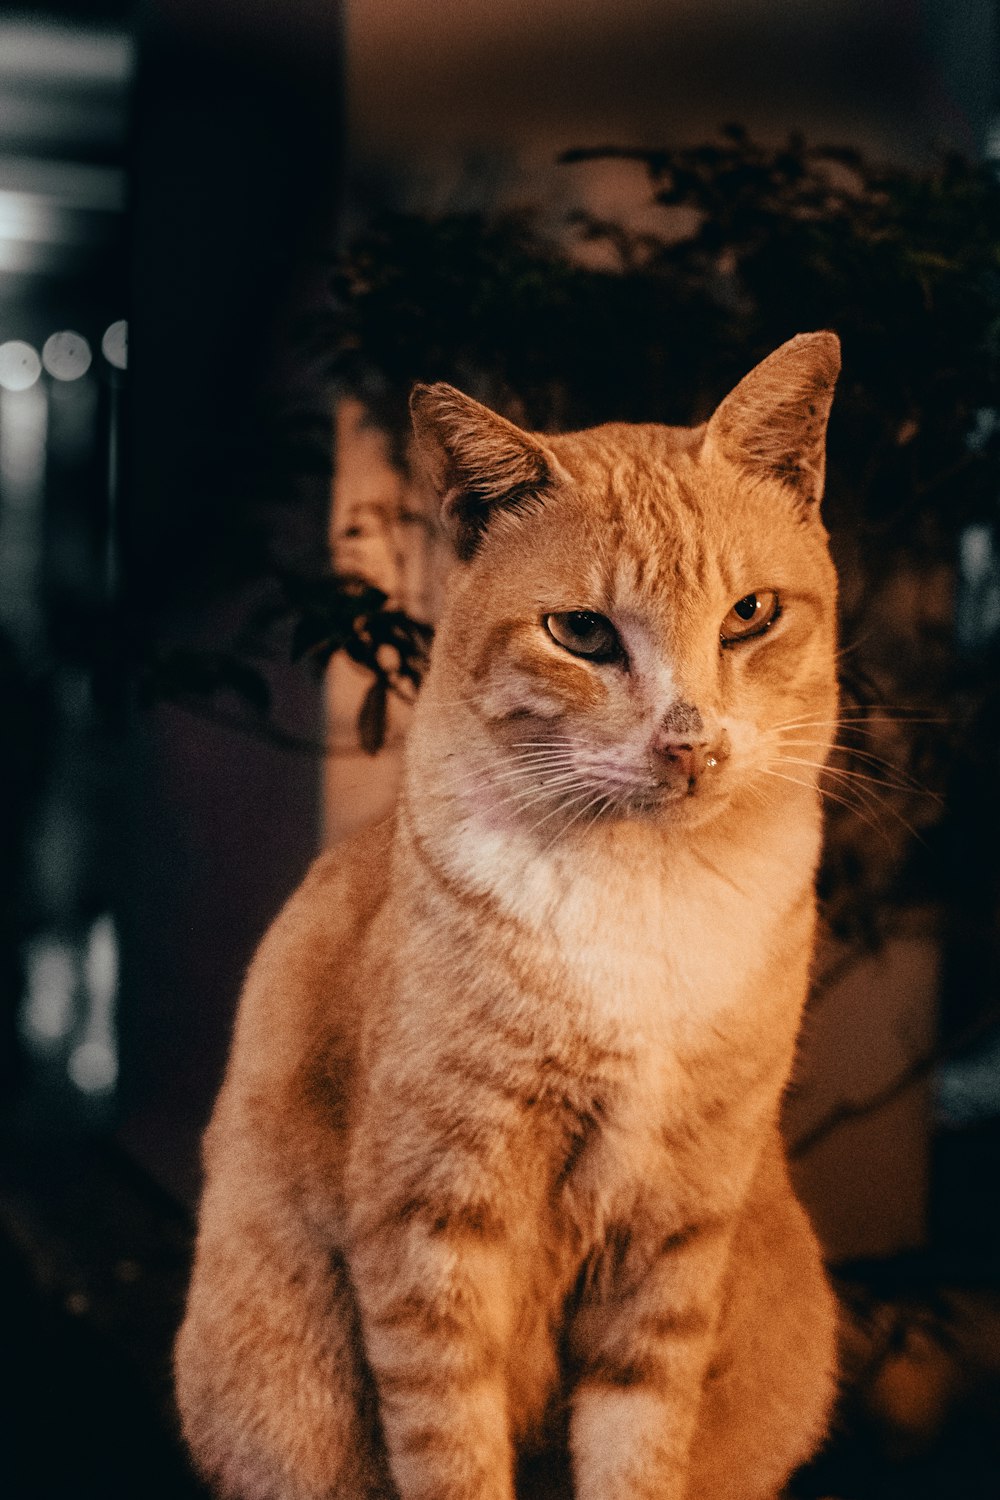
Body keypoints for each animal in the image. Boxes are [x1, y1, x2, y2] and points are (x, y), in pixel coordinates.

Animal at [173, 334, 845, 1500]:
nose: (690, 743)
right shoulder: (431, 1220)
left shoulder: (675, 1229)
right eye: (581, 633)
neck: (644, 904)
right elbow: (450, 1449)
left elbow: (638, 1448)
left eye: (750, 615)